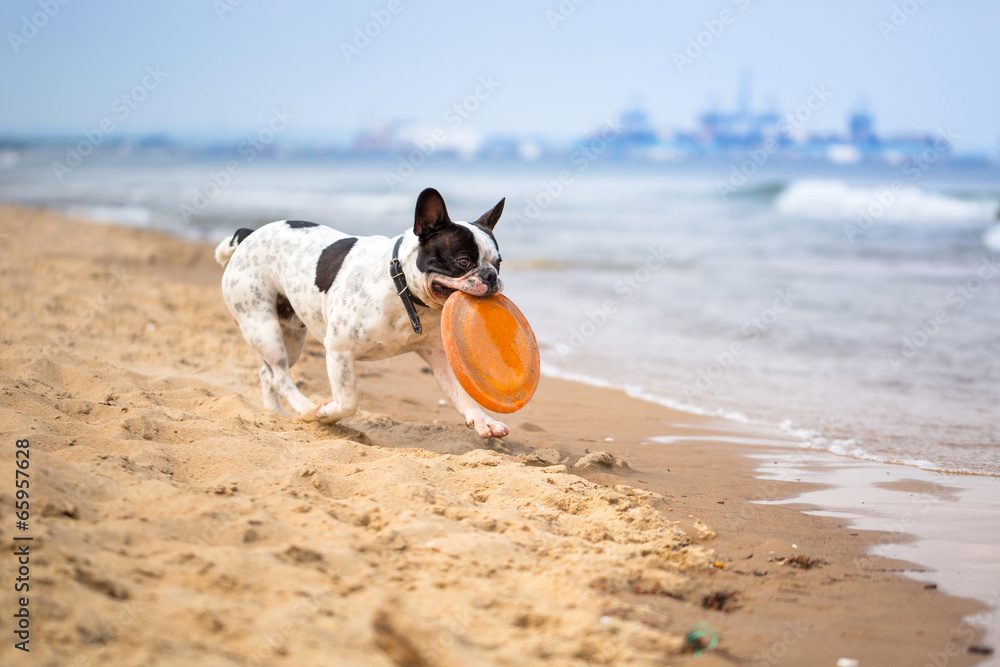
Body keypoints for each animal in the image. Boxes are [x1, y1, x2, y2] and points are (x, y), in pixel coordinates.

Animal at [211, 188, 508, 438]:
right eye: (463, 262)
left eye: (498, 263)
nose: (491, 276)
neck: (401, 288)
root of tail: (249, 235)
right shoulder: (339, 351)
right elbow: (348, 402)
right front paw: (325, 414)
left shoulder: (437, 354)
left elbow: (459, 393)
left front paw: (483, 420)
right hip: (263, 328)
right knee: (279, 375)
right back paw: (307, 408)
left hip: (291, 335)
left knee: (268, 374)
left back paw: (274, 413)